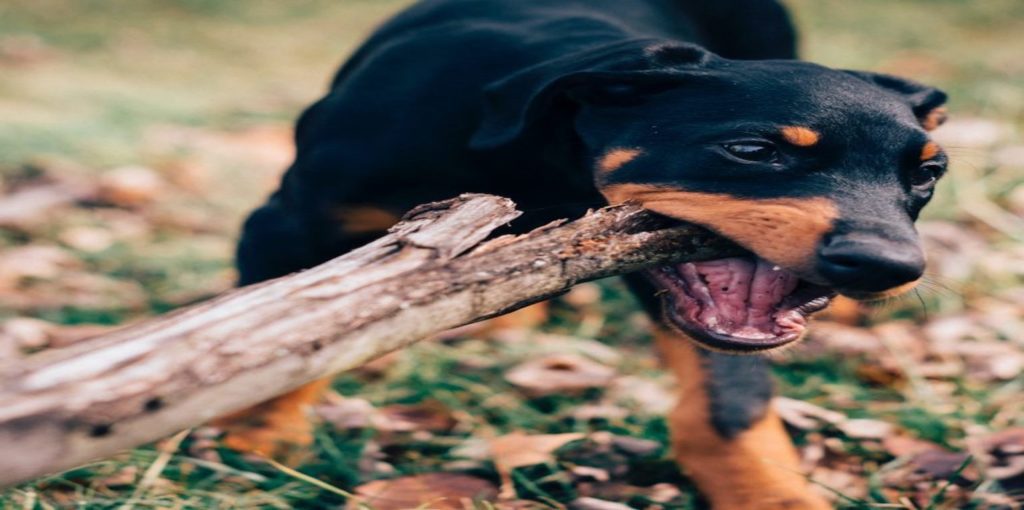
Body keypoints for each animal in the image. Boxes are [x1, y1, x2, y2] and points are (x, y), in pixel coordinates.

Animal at [220, 1, 946, 507]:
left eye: (928, 174)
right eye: (752, 150)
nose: (888, 267)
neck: (534, 155)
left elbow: (730, 400)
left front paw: (773, 495)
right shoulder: (284, 223)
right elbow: (286, 338)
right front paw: (260, 435)